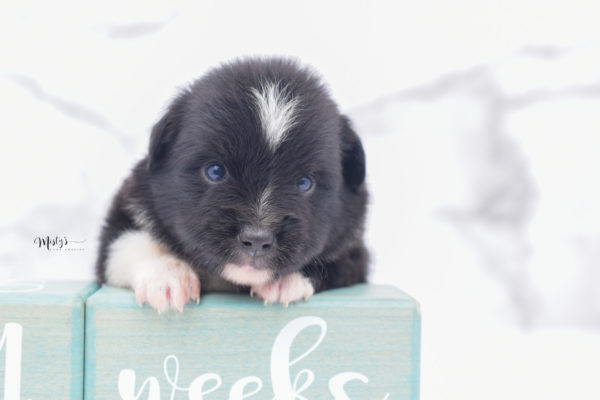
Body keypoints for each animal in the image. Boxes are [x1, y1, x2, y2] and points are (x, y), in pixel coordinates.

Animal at [96, 57, 368, 312]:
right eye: (215, 171)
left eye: (304, 183)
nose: (256, 240)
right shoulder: (124, 217)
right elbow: (130, 243)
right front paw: (167, 277)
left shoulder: (358, 254)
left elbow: (334, 264)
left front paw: (288, 281)